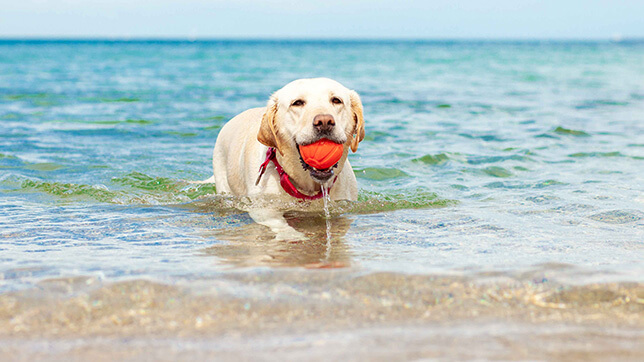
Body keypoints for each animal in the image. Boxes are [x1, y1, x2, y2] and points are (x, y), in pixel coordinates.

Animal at [209, 78, 364, 239]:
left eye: (336, 100)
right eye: (297, 103)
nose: (325, 121)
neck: (307, 188)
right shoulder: (262, 207)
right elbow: (280, 225)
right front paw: (296, 237)